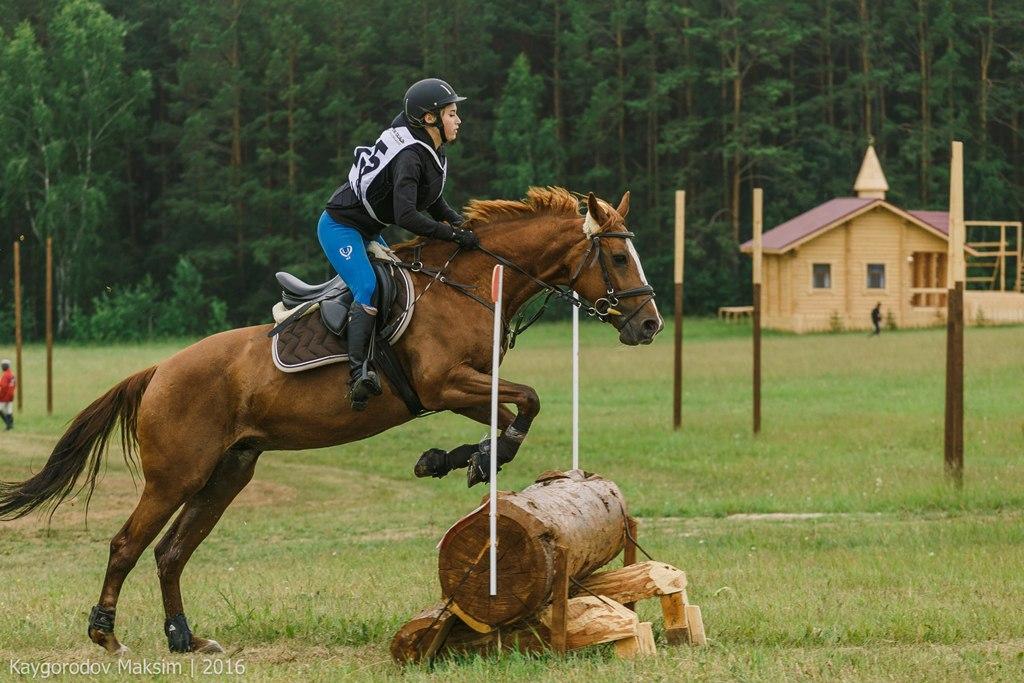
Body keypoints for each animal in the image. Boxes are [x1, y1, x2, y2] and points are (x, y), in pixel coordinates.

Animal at [0, 185, 663, 651]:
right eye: (617, 256)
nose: (650, 324)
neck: (470, 286)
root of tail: (159, 369)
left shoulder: (465, 389)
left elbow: (519, 407)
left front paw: (454, 459)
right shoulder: (444, 385)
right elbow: (525, 402)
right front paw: (470, 460)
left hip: (228, 472)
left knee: (171, 552)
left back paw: (185, 638)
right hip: (175, 475)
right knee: (126, 544)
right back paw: (105, 633)